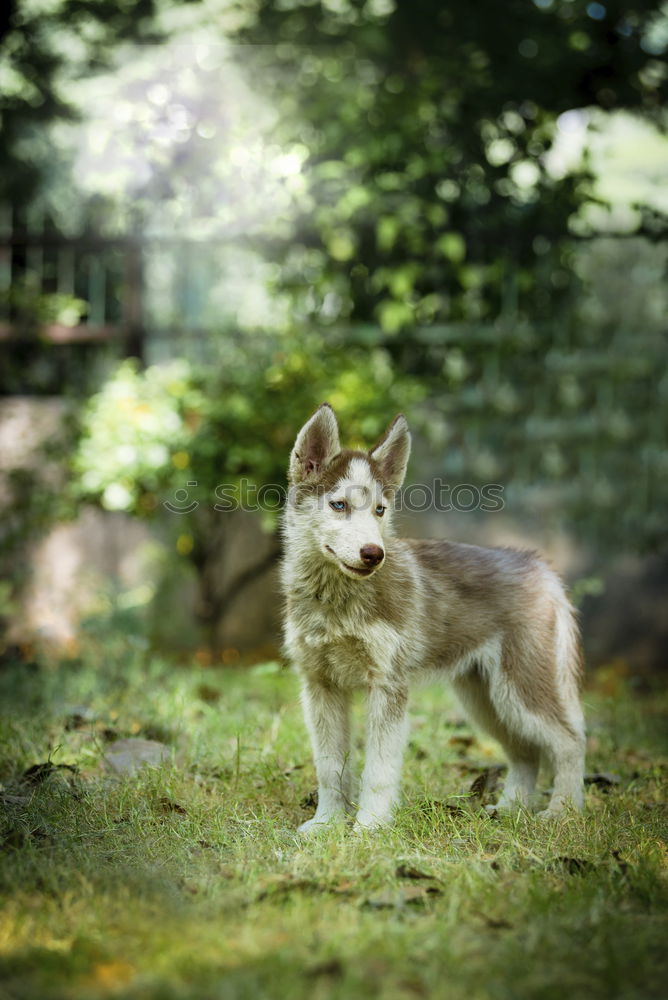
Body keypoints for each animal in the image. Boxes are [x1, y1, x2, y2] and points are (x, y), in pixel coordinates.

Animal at [282, 402, 584, 832]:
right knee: (526, 752)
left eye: (380, 510)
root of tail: (539, 566)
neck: (337, 599)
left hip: (521, 692)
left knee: (570, 742)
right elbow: (330, 767)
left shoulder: (388, 687)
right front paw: (327, 825)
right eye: (339, 505)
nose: (374, 554)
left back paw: (562, 812)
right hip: (486, 700)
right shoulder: (321, 687)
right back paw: (510, 809)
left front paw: (369, 829)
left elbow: (378, 771)